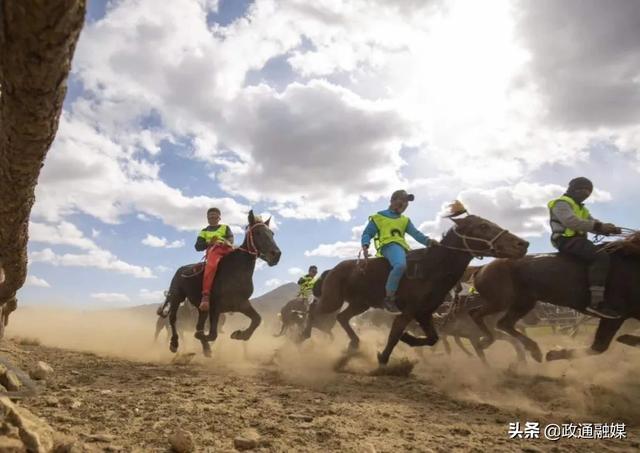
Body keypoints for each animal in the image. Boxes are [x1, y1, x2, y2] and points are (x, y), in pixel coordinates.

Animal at [162, 210, 280, 354]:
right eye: (257, 233)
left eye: (272, 233)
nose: (276, 254)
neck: (236, 271)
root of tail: (181, 270)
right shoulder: (215, 308)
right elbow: (212, 334)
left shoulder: (241, 304)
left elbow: (257, 319)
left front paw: (240, 334)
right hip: (176, 297)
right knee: (173, 319)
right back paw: (174, 343)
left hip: (201, 308)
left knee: (198, 324)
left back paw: (206, 348)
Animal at [302, 207, 528, 366]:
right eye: (483, 227)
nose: (522, 244)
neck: (431, 269)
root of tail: (332, 270)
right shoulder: (408, 312)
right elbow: (394, 336)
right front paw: (383, 359)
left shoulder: (424, 314)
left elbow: (432, 338)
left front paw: (408, 339)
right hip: (333, 300)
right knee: (314, 310)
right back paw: (302, 336)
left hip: (360, 304)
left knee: (342, 317)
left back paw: (354, 343)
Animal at [470, 230, 640, 360]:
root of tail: (481, 269)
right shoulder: (615, 316)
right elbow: (599, 346)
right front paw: (554, 354)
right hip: (501, 301)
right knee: (477, 314)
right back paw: (490, 341)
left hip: (522, 303)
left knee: (504, 323)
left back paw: (532, 350)